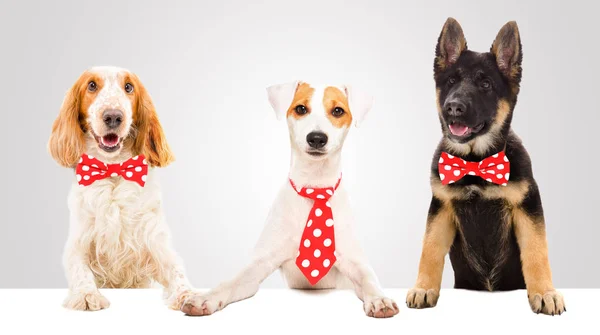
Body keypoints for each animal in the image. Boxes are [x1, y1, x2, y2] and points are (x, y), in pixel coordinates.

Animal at [48, 66, 191, 312]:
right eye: (92, 85)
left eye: (129, 87)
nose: (113, 116)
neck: (113, 169)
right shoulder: (78, 244)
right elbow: (80, 271)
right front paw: (87, 295)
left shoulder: (157, 245)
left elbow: (177, 272)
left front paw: (189, 296)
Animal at [182, 80, 398, 318]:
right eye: (301, 109)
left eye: (338, 111)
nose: (316, 138)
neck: (314, 186)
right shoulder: (258, 265)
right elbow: (230, 281)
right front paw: (205, 297)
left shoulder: (355, 263)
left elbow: (369, 279)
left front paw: (379, 299)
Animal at [406, 17, 564, 318]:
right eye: (451, 81)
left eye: (486, 84)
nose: (453, 107)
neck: (475, 162)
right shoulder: (441, 207)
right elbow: (429, 249)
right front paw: (423, 288)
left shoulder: (528, 205)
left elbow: (536, 252)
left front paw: (545, 293)